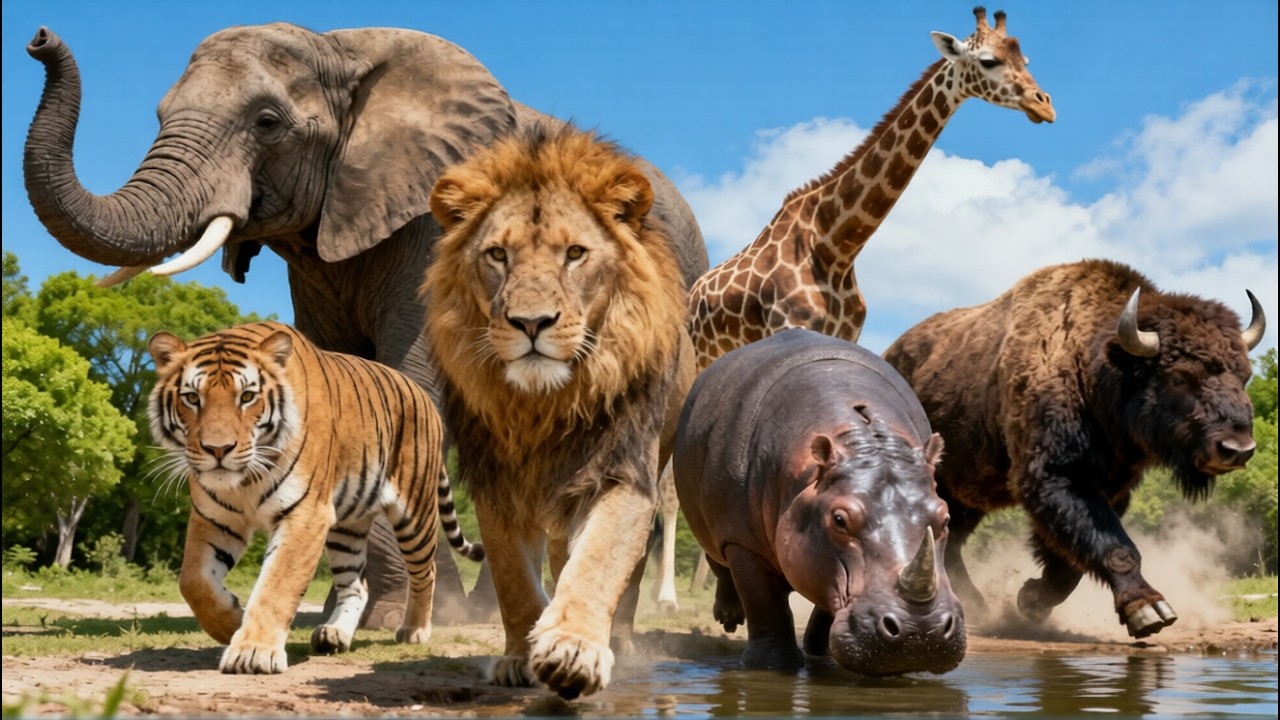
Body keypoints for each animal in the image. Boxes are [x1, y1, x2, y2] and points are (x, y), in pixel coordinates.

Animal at [147, 321, 483, 674]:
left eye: (247, 397)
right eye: (192, 398)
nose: (218, 450)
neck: (246, 479)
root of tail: (423, 396)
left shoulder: (305, 514)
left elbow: (277, 586)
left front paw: (253, 652)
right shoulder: (215, 517)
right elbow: (193, 581)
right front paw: (232, 623)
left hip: (415, 513)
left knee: (425, 571)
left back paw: (414, 630)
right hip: (346, 527)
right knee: (357, 585)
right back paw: (334, 634)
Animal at [422, 124, 691, 698]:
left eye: (575, 253)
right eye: (497, 254)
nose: (531, 322)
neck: (541, 405)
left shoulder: (620, 471)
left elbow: (598, 562)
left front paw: (573, 649)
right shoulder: (497, 484)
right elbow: (513, 580)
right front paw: (521, 653)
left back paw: (619, 641)